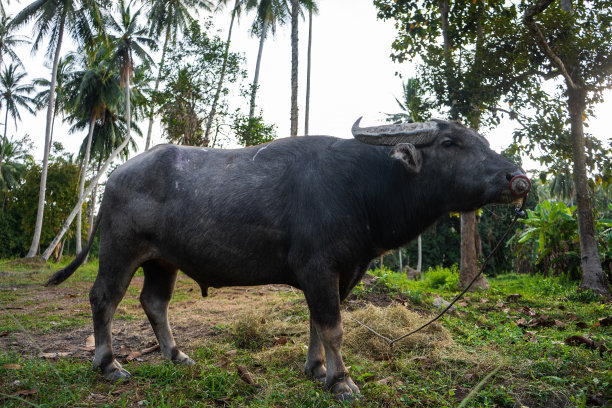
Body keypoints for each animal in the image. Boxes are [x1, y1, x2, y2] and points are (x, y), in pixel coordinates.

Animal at [47, 117, 528, 398]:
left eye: (482, 140)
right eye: (449, 142)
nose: (517, 178)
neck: (364, 187)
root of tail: (113, 179)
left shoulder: (343, 273)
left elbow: (318, 322)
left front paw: (316, 369)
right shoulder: (318, 269)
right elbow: (333, 327)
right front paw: (342, 381)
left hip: (163, 261)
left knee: (154, 302)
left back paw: (176, 355)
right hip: (120, 249)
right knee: (104, 298)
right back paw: (108, 365)